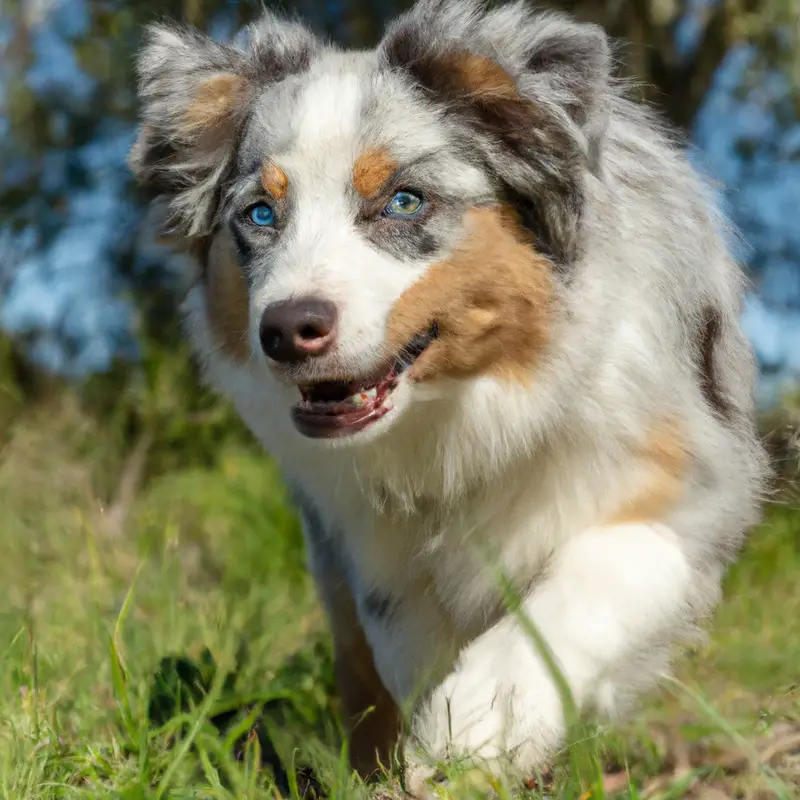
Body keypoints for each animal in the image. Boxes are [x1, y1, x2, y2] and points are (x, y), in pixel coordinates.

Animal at [130, 0, 768, 788]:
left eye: (404, 201)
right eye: (259, 215)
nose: (285, 330)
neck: (468, 408)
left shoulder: (688, 475)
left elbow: (593, 578)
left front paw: (482, 722)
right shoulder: (373, 549)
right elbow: (405, 650)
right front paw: (440, 752)